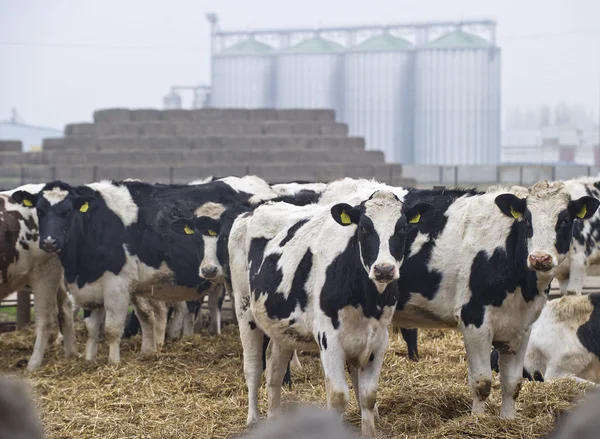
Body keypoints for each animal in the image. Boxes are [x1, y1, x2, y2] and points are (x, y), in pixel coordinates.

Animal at [9, 179, 264, 364]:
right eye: (40, 211)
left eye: (68, 211)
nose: (49, 242)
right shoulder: (90, 287)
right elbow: (92, 328)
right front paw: (90, 361)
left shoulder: (117, 286)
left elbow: (112, 329)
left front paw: (113, 363)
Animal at [227, 191, 434, 438]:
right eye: (364, 227)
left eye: (402, 227)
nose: (384, 269)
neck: (364, 300)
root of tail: (252, 211)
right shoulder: (330, 340)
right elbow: (338, 398)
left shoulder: (377, 340)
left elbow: (368, 396)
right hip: (244, 310)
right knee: (253, 367)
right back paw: (253, 420)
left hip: (283, 329)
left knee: (274, 372)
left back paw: (273, 420)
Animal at [390, 180, 600, 418]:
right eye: (527, 219)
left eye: (564, 220)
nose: (539, 258)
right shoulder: (474, 320)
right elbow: (482, 382)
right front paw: (478, 420)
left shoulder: (521, 328)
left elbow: (512, 383)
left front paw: (508, 419)